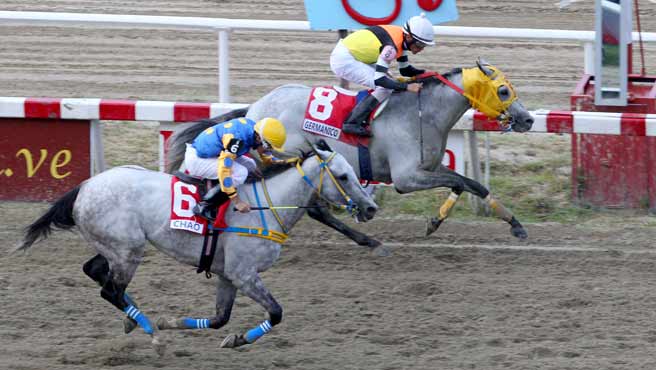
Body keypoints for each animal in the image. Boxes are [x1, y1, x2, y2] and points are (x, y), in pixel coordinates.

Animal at [19, 146, 380, 354]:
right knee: (110, 290)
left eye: (355, 174)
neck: (266, 206)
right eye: (343, 176)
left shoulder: (228, 276)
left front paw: (216, 333)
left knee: (97, 273)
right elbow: (276, 312)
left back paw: (135, 321)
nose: (371, 208)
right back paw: (151, 333)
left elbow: (220, 319)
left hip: (115, 246)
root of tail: (84, 187)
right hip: (127, 249)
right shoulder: (244, 274)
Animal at [169, 58, 540, 249]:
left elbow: (466, 184)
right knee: (311, 207)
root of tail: (257, 108)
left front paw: (440, 222)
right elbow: (467, 184)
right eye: (503, 90)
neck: (422, 113)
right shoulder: (407, 178)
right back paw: (365, 238)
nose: (527, 119)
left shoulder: (428, 168)